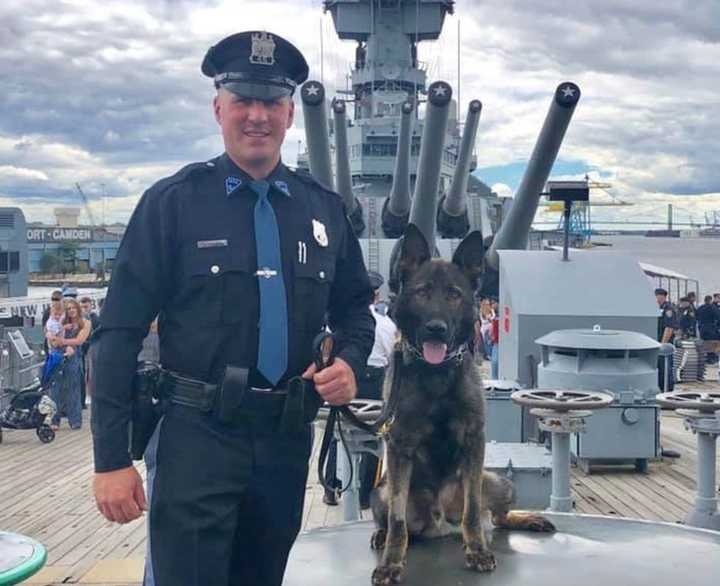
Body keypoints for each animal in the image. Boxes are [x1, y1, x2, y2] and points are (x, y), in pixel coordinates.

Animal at [368, 221, 556, 580]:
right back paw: (382, 535)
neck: (436, 374)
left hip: (497, 481)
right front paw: (391, 563)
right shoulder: (398, 446)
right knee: (397, 522)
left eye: (454, 295)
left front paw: (477, 550)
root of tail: (442, 524)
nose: (436, 328)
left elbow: (472, 510)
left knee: (493, 517)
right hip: (381, 492)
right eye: (422, 292)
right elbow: (398, 522)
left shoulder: (473, 440)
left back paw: (526, 519)